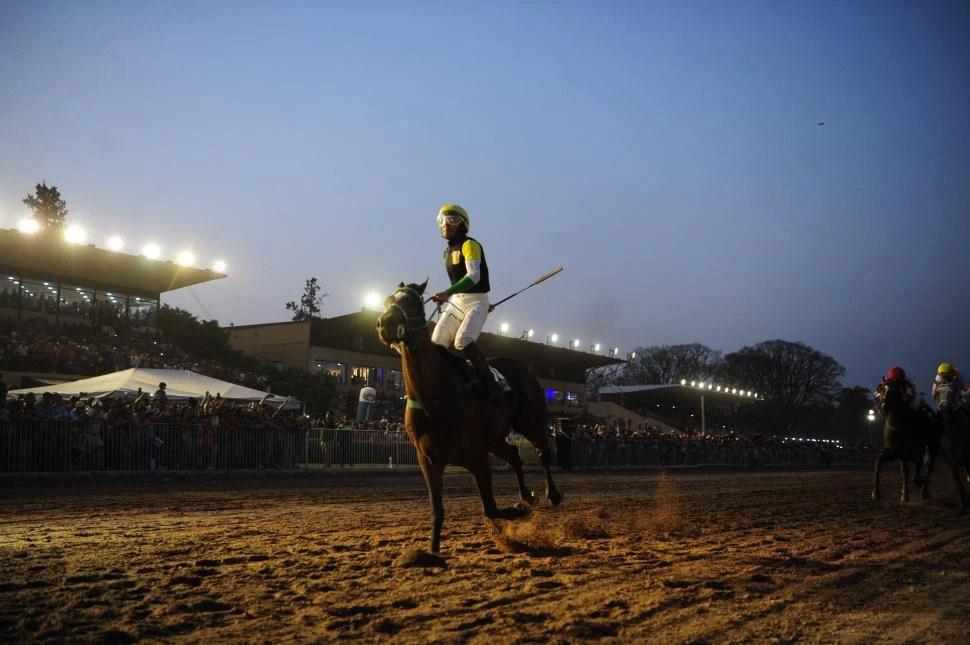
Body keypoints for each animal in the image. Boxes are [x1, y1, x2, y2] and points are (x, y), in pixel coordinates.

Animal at [374, 280, 564, 552]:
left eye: (411, 303)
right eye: (387, 301)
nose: (385, 324)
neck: (433, 396)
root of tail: (523, 369)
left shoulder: (477, 457)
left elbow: (491, 509)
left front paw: (518, 510)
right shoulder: (428, 460)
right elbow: (438, 512)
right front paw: (432, 551)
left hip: (530, 422)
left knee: (543, 453)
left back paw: (551, 494)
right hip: (495, 438)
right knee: (515, 455)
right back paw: (527, 495)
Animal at [932, 380, 968, 510]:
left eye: (952, 392)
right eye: (938, 393)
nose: (945, 408)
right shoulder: (952, 462)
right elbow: (959, 483)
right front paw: (962, 506)